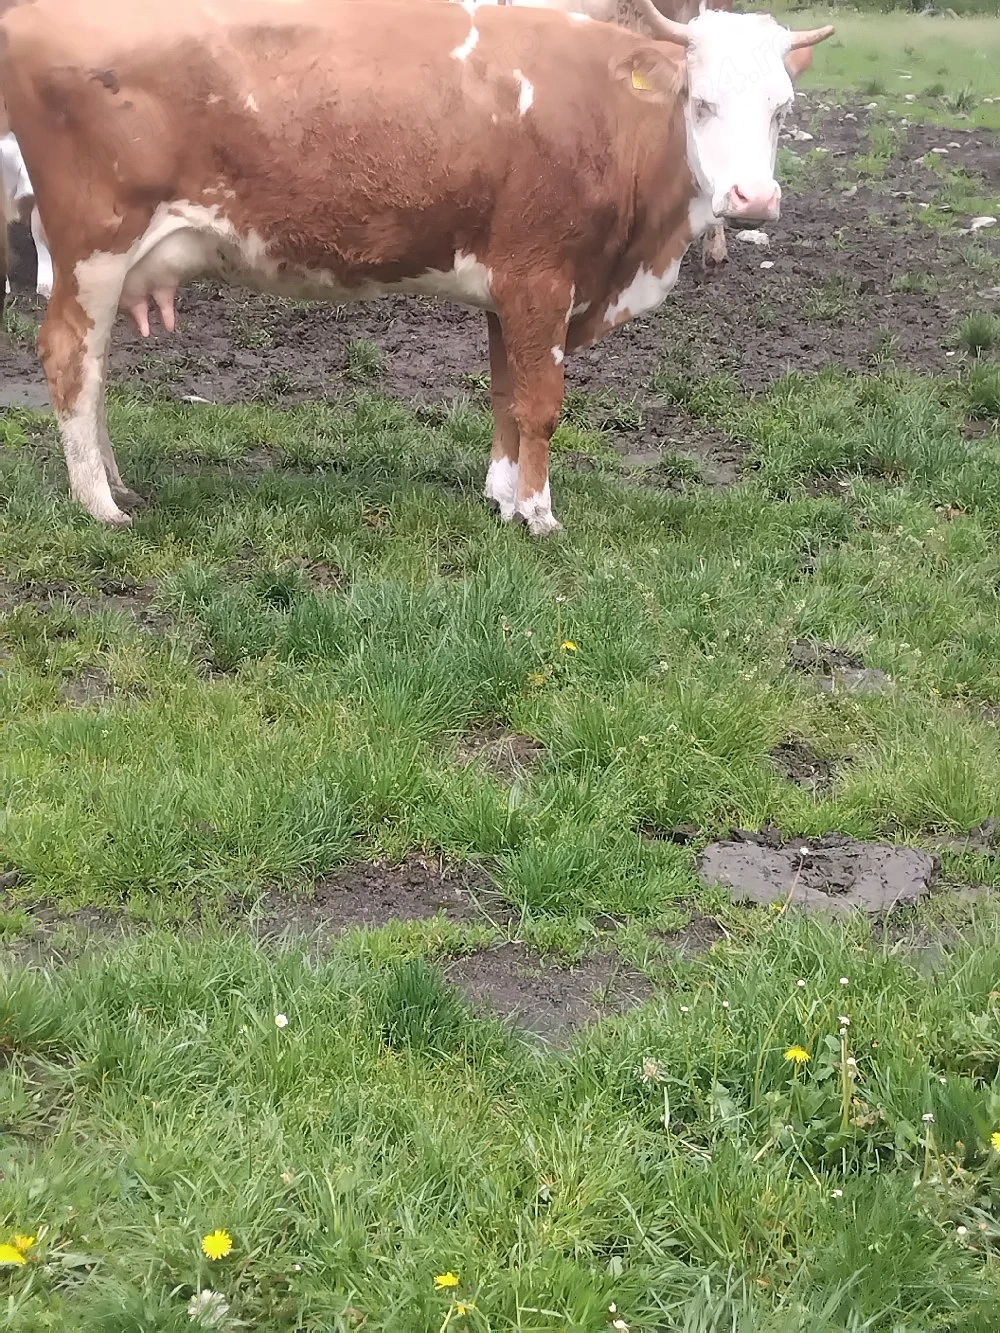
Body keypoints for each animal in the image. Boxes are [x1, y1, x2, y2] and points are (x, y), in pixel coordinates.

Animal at [0, 0, 831, 532]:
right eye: (701, 101)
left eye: (782, 108)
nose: (753, 198)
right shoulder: (541, 277)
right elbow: (541, 404)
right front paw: (539, 513)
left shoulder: (507, 286)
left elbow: (504, 395)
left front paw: (501, 495)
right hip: (94, 246)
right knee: (69, 357)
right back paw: (98, 505)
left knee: (95, 369)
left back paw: (115, 483)